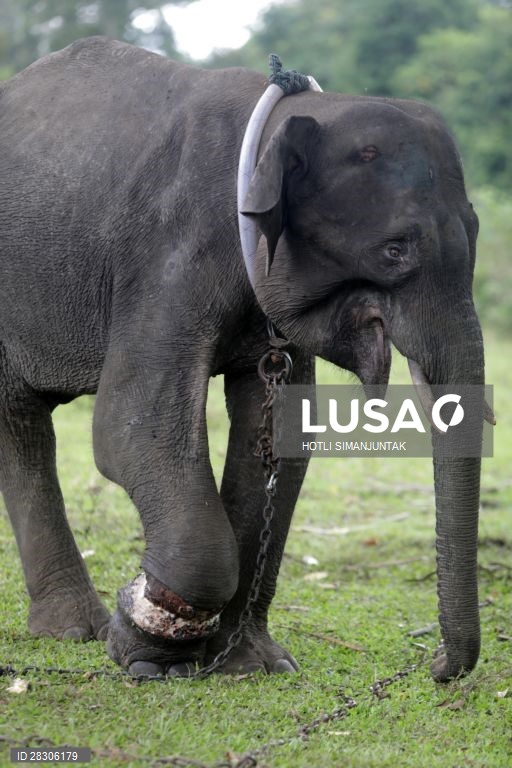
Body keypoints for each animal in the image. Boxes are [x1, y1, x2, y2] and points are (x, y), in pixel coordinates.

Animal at [0, 37, 487, 681]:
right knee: (21, 421)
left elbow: (282, 438)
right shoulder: (168, 252)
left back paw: (70, 629)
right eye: (395, 249)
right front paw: (144, 647)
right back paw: (82, 630)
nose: (434, 664)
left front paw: (250, 664)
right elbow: (131, 429)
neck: (283, 121)